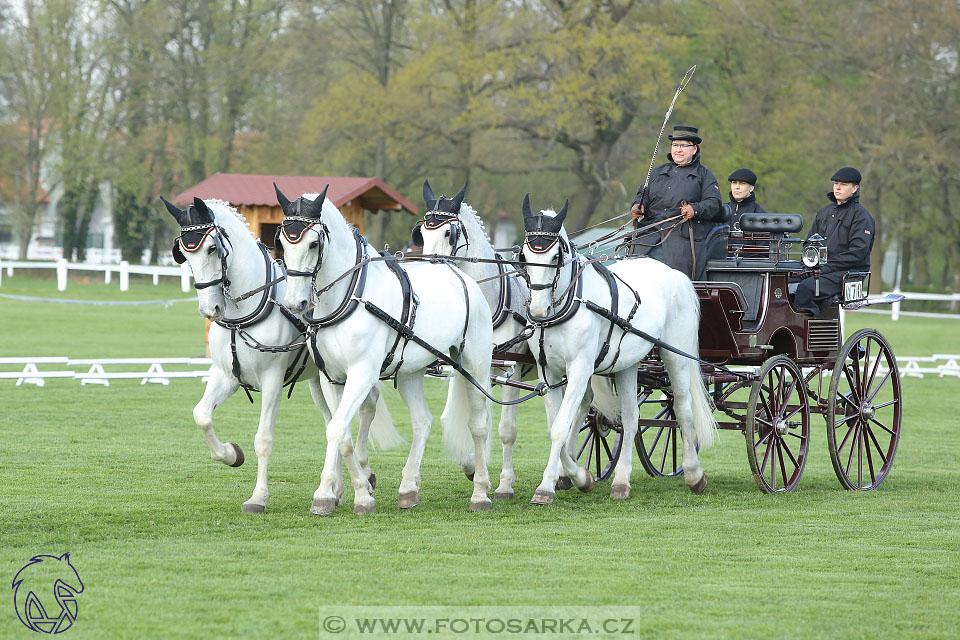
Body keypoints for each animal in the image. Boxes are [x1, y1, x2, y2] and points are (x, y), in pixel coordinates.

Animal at [162, 194, 402, 510]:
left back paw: (363, 474)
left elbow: (263, 440)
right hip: (319, 381)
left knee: (366, 408)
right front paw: (231, 454)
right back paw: (336, 488)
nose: (209, 309)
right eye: (184, 255)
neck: (244, 312)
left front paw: (258, 497)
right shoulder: (226, 375)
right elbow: (201, 415)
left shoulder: (273, 379)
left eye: (212, 248)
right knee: (332, 419)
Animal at [272, 182, 492, 512]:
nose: (294, 302)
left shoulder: (362, 373)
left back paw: (480, 492)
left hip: (475, 365)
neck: (348, 297)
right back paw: (408, 488)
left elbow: (337, 428)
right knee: (422, 421)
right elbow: (342, 433)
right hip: (412, 370)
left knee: (478, 425)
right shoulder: (331, 378)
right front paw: (348, 491)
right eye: (283, 243)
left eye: (313, 243)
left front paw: (342, 495)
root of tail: (460, 275)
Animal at [516, 192, 712, 502]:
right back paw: (621, 481)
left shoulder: (580, 369)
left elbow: (560, 427)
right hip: (627, 363)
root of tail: (675, 274)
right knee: (631, 418)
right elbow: (556, 425)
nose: (538, 309)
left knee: (682, 409)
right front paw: (578, 476)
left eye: (555, 256)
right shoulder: (549, 373)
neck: (570, 303)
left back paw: (694, 474)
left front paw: (546, 487)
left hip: (675, 356)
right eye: (524, 256)